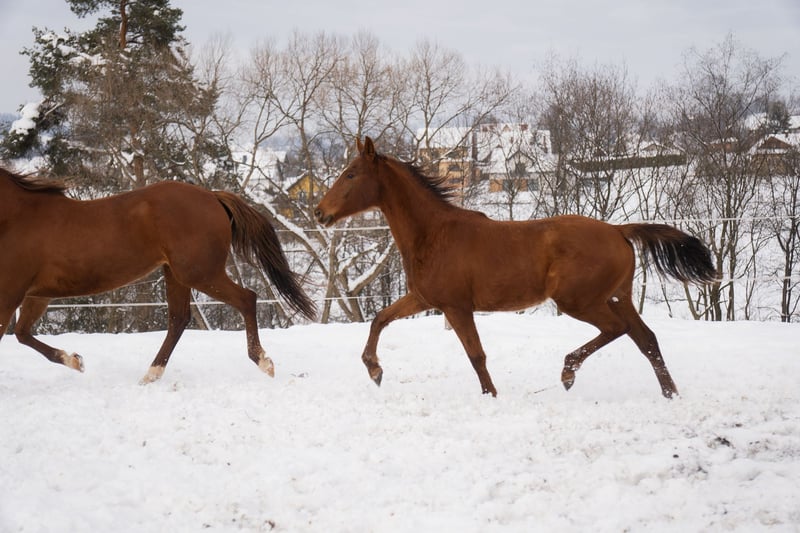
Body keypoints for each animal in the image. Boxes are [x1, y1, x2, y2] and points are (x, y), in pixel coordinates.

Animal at [0, 167, 315, 383]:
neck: (16, 217)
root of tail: (212, 196)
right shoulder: (37, 295)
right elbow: (22, 333)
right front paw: (75, 361)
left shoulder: (11, 294)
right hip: (176, 274)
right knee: (179, 319)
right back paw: (150, 375)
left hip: (198, 273)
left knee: (246, 298)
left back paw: (263, 362)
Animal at [315, 137, 716, 398]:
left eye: (351, 174)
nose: (320, 213)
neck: (433, 233)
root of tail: (619, 230)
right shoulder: (424, 298)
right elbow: (380, 319)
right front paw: (375, 370)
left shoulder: (456, 306)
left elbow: (476, 355)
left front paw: (491, 396)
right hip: (618, 297)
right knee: (646, 339)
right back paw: (670, 394)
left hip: (580, 301)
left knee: (618, 330)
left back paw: (568, 372)